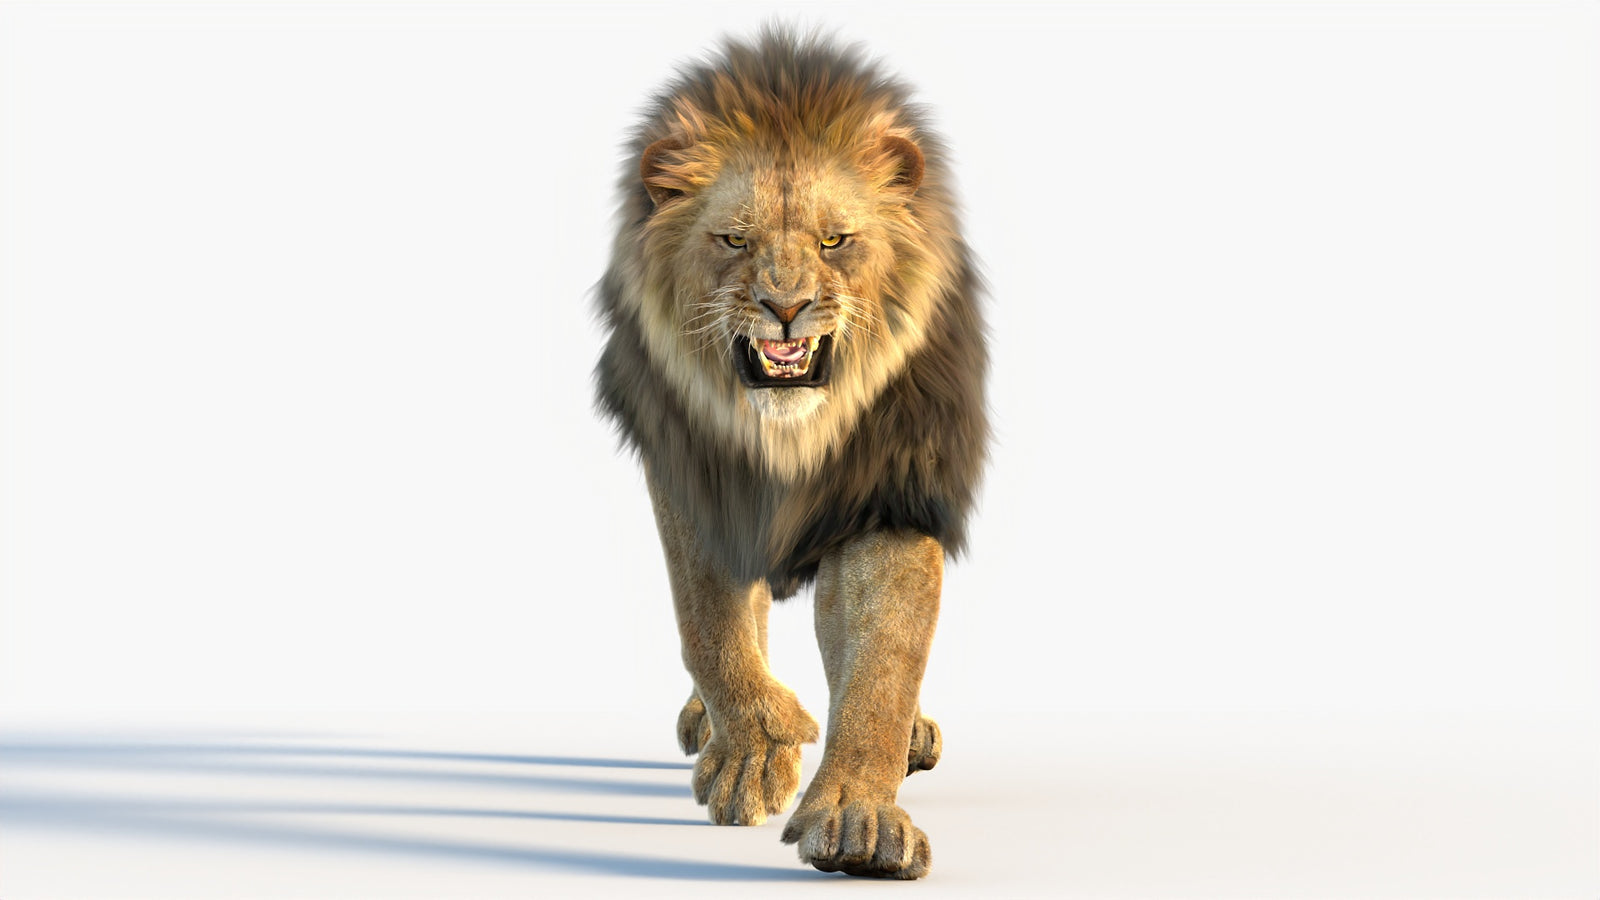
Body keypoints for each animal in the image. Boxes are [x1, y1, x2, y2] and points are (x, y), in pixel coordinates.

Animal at [594, 28, 986, 879]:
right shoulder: (693, 468)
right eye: (734, 239)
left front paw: (858, 818)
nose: (785, 307)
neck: (787, 433)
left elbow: (883, 661)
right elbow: (710, 623)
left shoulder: (889, 485)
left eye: (835, 240)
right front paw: (755, 746)